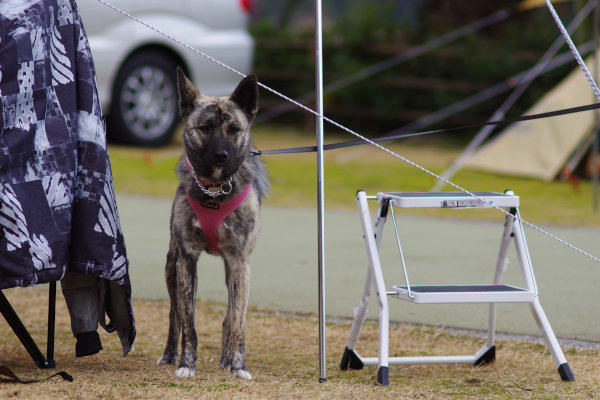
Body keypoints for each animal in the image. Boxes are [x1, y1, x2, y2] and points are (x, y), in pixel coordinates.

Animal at [157, 69, 268, 382]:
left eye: (234, 129)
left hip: (232, 271)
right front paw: (186, 364)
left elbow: (238, 322)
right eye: (205, 127)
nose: (222, 155)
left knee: (230, 316)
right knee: (174, 316)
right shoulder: (187, 260)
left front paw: (239, 365)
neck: (215, 191)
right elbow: (189, 324)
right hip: (171, 268)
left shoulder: (241, 263)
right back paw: (169, 354)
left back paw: (227, 360)